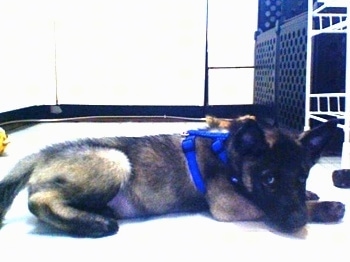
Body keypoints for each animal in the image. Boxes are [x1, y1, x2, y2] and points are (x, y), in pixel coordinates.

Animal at [0, 115, 346, 236]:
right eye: (268, 179)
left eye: (302, 176)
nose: (297, 222)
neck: (229, 152)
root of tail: (43, 153)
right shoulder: (229, 205)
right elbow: (264, 206)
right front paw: (326, 207)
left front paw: (312, 196)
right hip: (116, 160)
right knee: (39, 199)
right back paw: (94, 224)